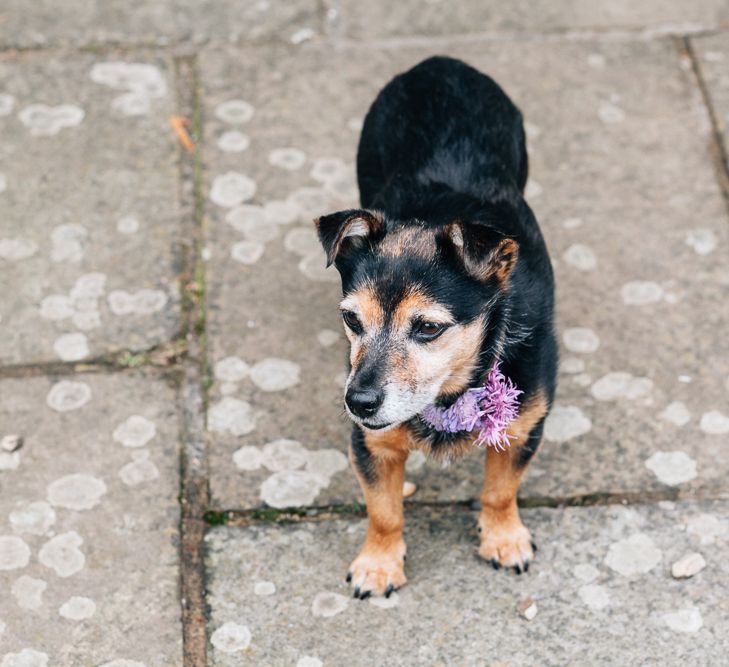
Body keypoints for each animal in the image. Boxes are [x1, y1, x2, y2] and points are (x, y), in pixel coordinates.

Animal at [312, 56, 556, 600]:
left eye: (427, 328)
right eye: (351, 319)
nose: (358, 402)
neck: (452, 390)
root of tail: (441, 63)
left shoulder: (526, 422)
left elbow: (501, 488)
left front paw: (504, 539)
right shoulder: (372, 444)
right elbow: (383, 512)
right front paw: (378, 565)